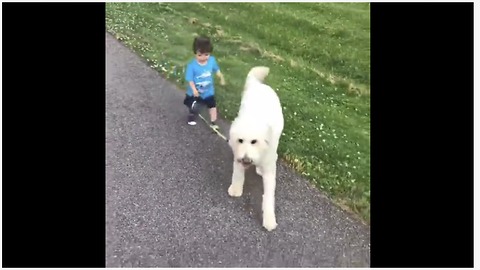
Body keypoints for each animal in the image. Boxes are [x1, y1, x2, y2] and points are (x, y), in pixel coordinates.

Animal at [227, 66, 284, 231]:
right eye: (240, 140)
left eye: (254, 141)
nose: (246, 159)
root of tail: (259, 85)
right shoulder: (238, 156)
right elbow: (238, 174)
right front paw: (236, 189)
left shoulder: (270, 170)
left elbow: (269, 197)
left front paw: (269, 219)